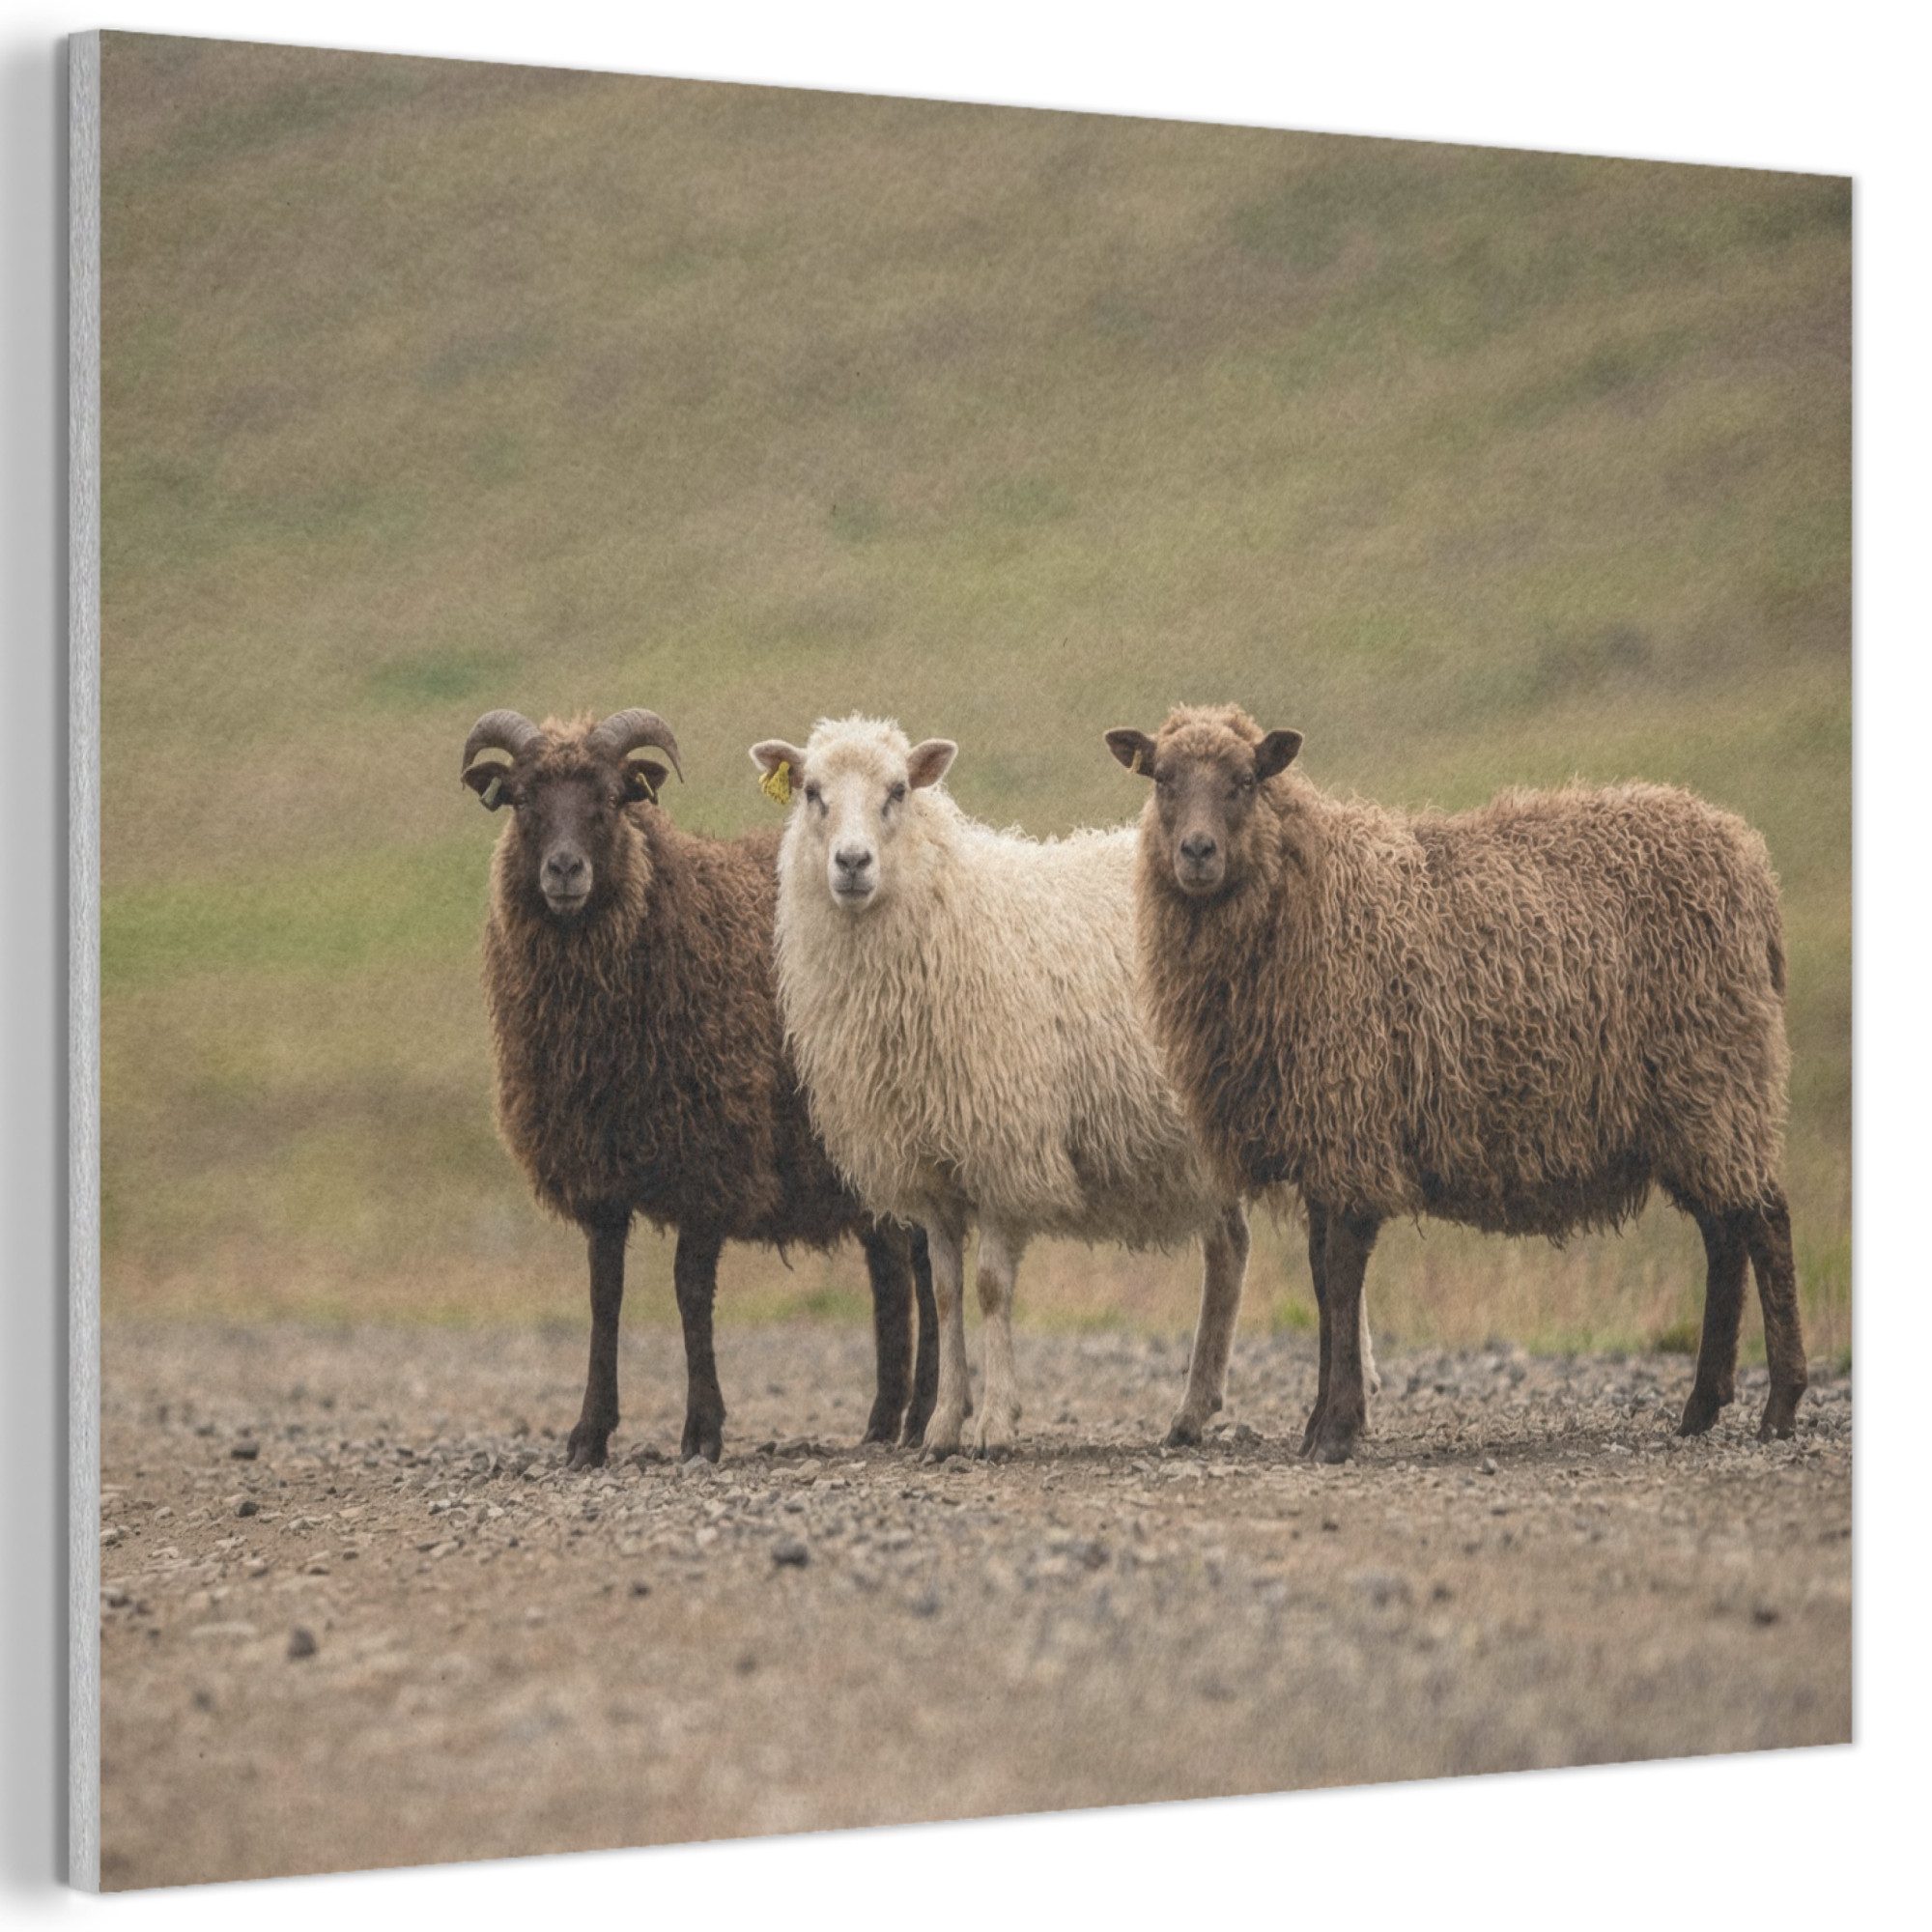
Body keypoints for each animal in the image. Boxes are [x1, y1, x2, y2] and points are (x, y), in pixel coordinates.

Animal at [461, 706, 938, 1468]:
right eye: (523, 799)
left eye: (612, 799)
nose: (564, 870)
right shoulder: (599, 1172)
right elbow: (604, 1294)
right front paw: (588, 1434)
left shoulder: (713, 1153)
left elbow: (690, 1291)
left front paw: (702, 1431)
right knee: (891, 1267)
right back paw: (883, 1421)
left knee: (923, 1265)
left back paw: (920, 1416)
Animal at [752, 714, 1373, 1459]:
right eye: (812, 792)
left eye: (898, 790)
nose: (852, 863)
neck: (942, 912)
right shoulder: (931, 1165)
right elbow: (945, 1294)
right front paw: (943, 1426)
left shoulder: (1002, 1143)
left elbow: (991, 1288)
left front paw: (994, 1425)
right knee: (1232, 1249)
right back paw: (1193, 1412)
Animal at [1108, 702, 1804, 1464]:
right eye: (1162, 778)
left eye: (1244, 780)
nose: (1197, 853)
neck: (1310, 896)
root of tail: (1751, 863)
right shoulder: (1325, 1135)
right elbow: (1323, 1281)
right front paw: (1322, 1421)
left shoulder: (1351, 1124)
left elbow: (1341, 1278)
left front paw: (1336, 1429)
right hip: (1694, 1105)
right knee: (1723, 1235)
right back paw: (1702, 1407)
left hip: (1719, 1078)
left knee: (1765, 1224)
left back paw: (1780, 1407)